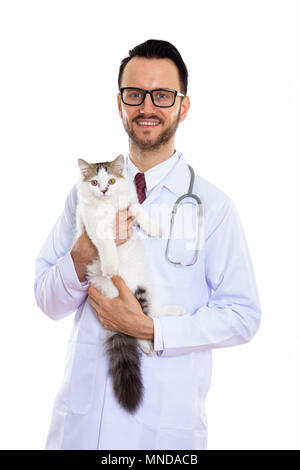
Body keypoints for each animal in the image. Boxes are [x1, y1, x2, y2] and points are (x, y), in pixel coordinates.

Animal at [74, 154, 185, 412]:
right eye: (94, 183)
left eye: (112, 181)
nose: (104, 190)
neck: (107, 207)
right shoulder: (92, 225)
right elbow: (106, 242)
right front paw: (110, 265)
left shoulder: (128, 207)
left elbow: (137, 209)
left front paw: (153, 228)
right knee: (141, 324)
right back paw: (148, 346)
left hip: (146, 286)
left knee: (149, 318)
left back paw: (174, 314)